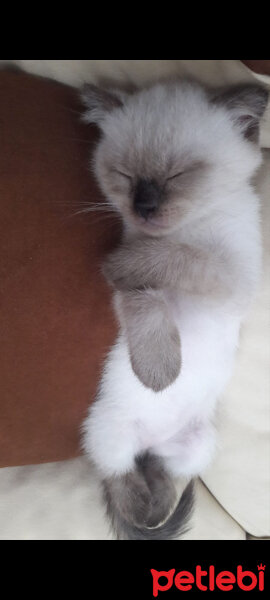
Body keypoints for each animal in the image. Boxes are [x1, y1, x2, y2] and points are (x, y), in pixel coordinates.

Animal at [80, 77, 268, 540]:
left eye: (178, 175)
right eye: (126, 176)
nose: (143, 207)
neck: (189, 227)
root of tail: (154, 440)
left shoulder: (232, 279)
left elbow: (175, 257)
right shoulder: (131, 294)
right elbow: (147, 295)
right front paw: (160, 374)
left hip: (199, 446)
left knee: (166, 478)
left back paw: (162, 503)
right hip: (106, 431)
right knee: (123, 483)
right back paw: (148, 508)